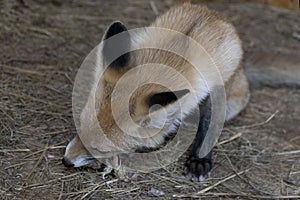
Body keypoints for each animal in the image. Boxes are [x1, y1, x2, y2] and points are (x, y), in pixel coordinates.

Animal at [62, 2, 250, 181]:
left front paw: (199, 160)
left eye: (101, 149)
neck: (175, 57)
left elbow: (209, 125)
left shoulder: (219, 86)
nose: (66, 161)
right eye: (80, 127)